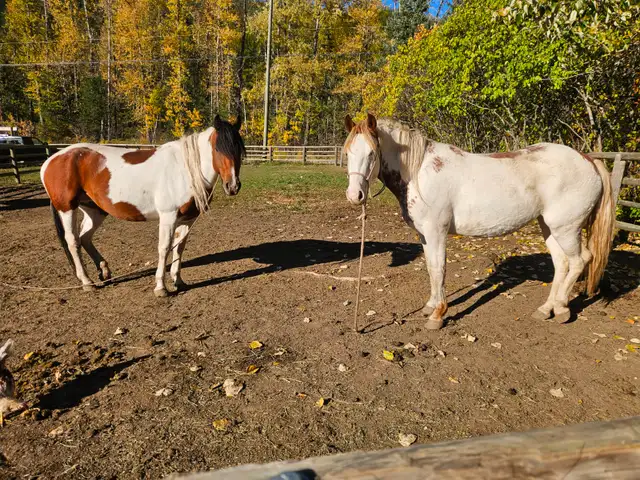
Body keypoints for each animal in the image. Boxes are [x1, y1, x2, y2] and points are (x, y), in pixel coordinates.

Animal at [40, 115, 245, 297]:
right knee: (73, 241)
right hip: (67, 208)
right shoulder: (168, 216)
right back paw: (87, 282)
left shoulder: (188, 219)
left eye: (240, 150)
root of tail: (51, 161)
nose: (233, 186)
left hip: (95, 210)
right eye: (218, 149)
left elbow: (179, 248)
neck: (184, 169)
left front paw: (178, 281)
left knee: (85, 237)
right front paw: (161, 287)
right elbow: (164, 248)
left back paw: (104, 272)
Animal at [343, 113, 614, 330]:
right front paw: (430, 305)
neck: (420, 172)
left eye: (371, 153)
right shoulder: (424, 235)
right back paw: (545, 309)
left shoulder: (436, 231)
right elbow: (430, 268)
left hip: (566, 228)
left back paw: (560, 308)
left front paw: (437, 315)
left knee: (580, 261)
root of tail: (589, 160)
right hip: (548, 226)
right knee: (561, 264)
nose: (355, 196)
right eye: (347, 153)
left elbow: (439, 269)